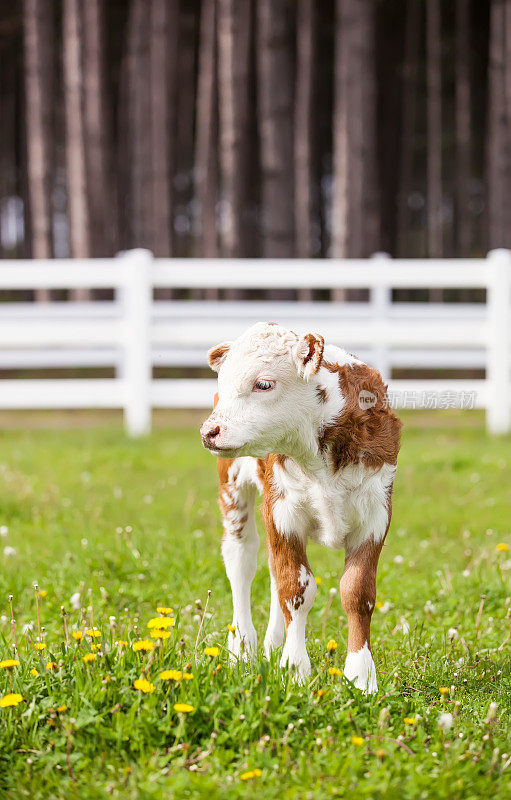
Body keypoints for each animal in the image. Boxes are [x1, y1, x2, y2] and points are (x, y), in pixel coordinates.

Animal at [202, 322, 402, 692]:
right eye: (222, 384)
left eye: (264, 383)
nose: (209, 431)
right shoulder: (282, 513)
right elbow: (296, 589)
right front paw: (294, 669)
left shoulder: (375, 515)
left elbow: (358, 592)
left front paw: (361, 675)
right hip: (232, 488)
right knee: (242, 560)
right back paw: (242, 647)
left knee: (271, 571)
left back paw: (271, 646)